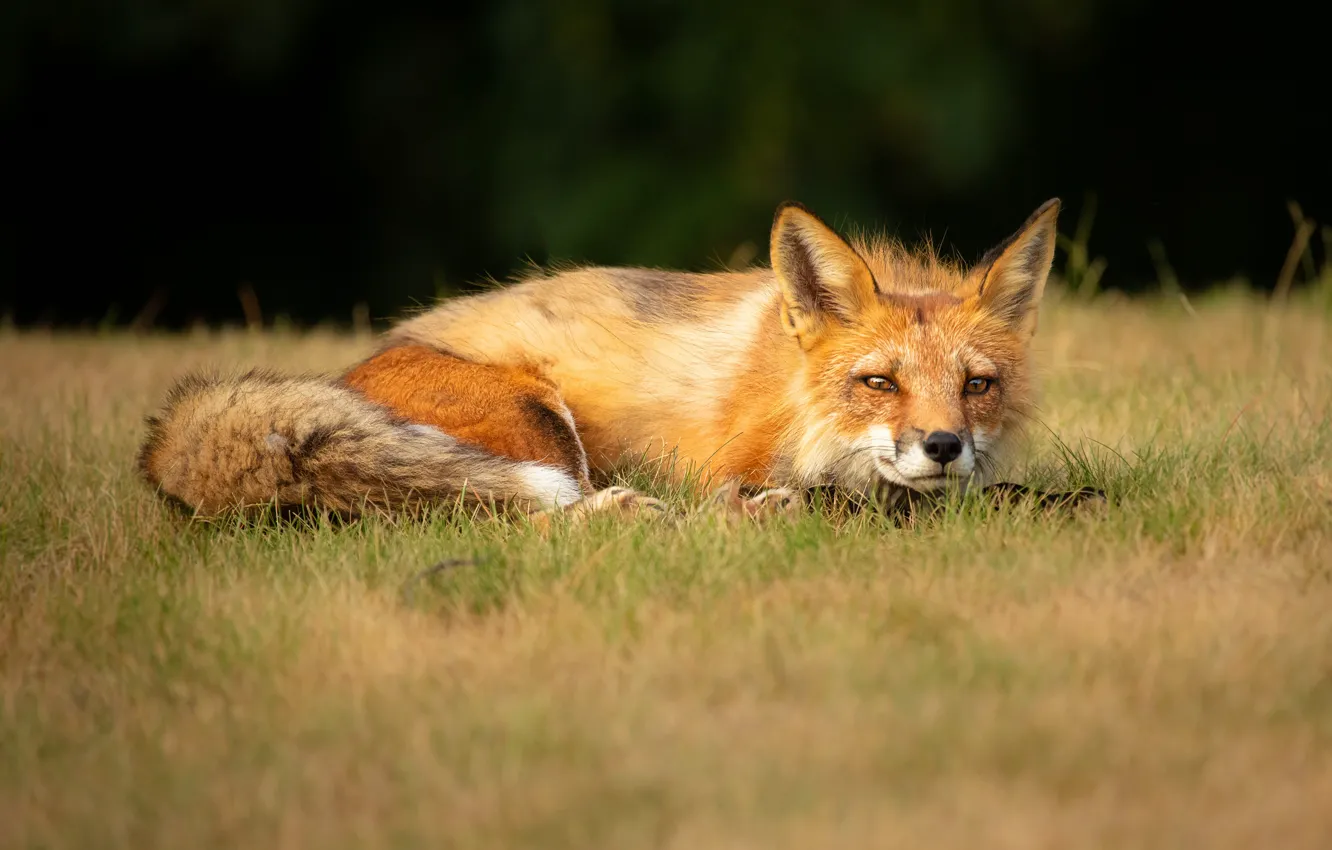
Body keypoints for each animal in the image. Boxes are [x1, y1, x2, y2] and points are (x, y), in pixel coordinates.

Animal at [140, 199, 1108, 527]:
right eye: (879, 383)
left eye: (977, 387)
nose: (942, 445)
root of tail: (345, 378)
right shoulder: (729, 471)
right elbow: (840, 501)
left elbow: (1026, 495)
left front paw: (1072, 503)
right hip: (537, 429)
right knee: (503, 521)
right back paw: (627, 516)